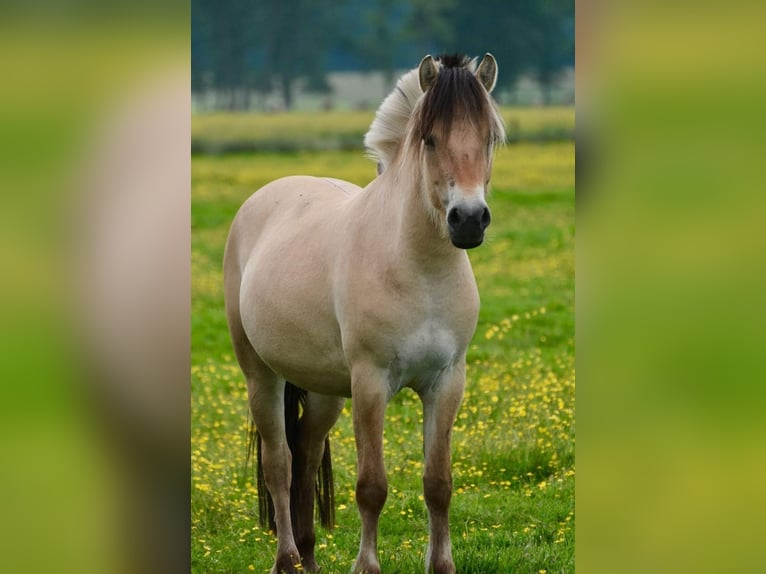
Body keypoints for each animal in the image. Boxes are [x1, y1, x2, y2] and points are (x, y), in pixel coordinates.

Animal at [225, 54, 508, 574]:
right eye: (429, 138)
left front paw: (442, 565)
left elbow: (438, 484)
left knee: (307, 455)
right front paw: (366, 566)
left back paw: (310, 557)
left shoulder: (447, 382)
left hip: (323, 391)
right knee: (280, 464)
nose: (468, 220)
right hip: (261, 375)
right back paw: (287, 559)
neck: (417, 269)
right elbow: (371, 486)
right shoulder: (371, 383)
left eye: (489, 138)